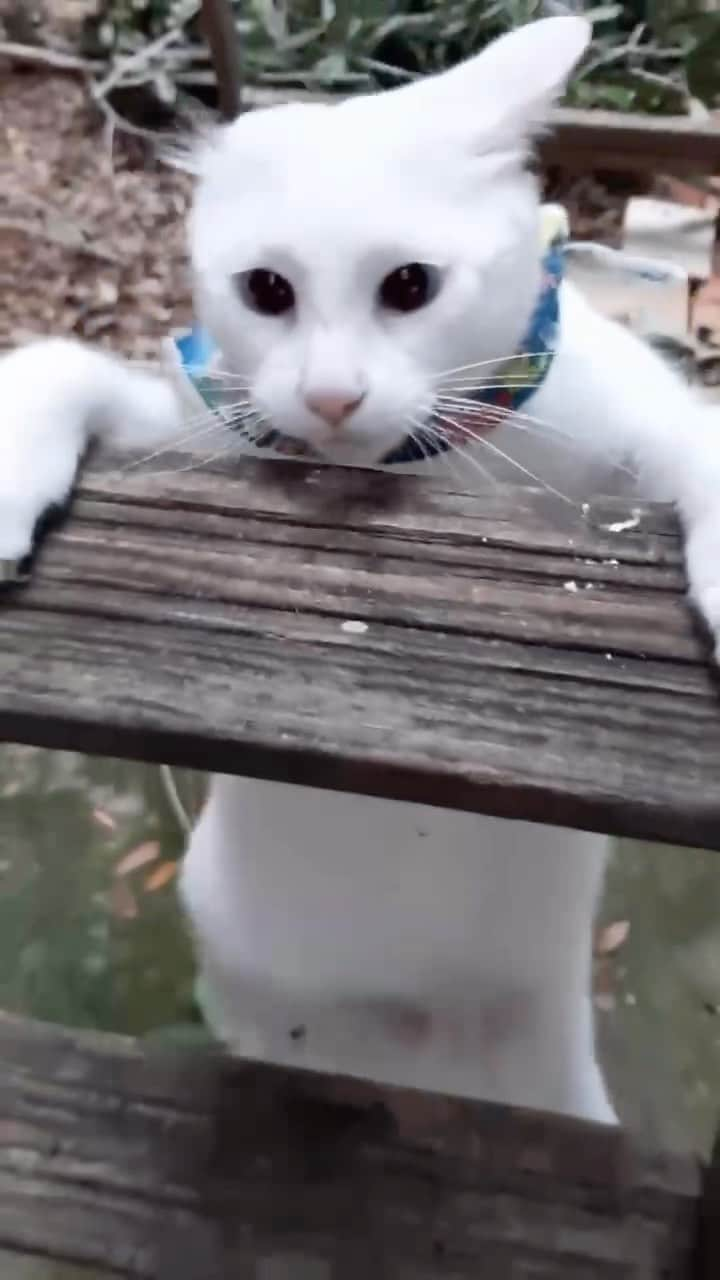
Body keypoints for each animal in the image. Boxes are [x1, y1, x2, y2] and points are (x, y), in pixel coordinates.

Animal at [1, 17, 717, 1121]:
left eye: (410, 285)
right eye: (266, 291)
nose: (332, 397)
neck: (416, 464)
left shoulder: (628, 443)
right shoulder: (200, 431)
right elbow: (61, 363)